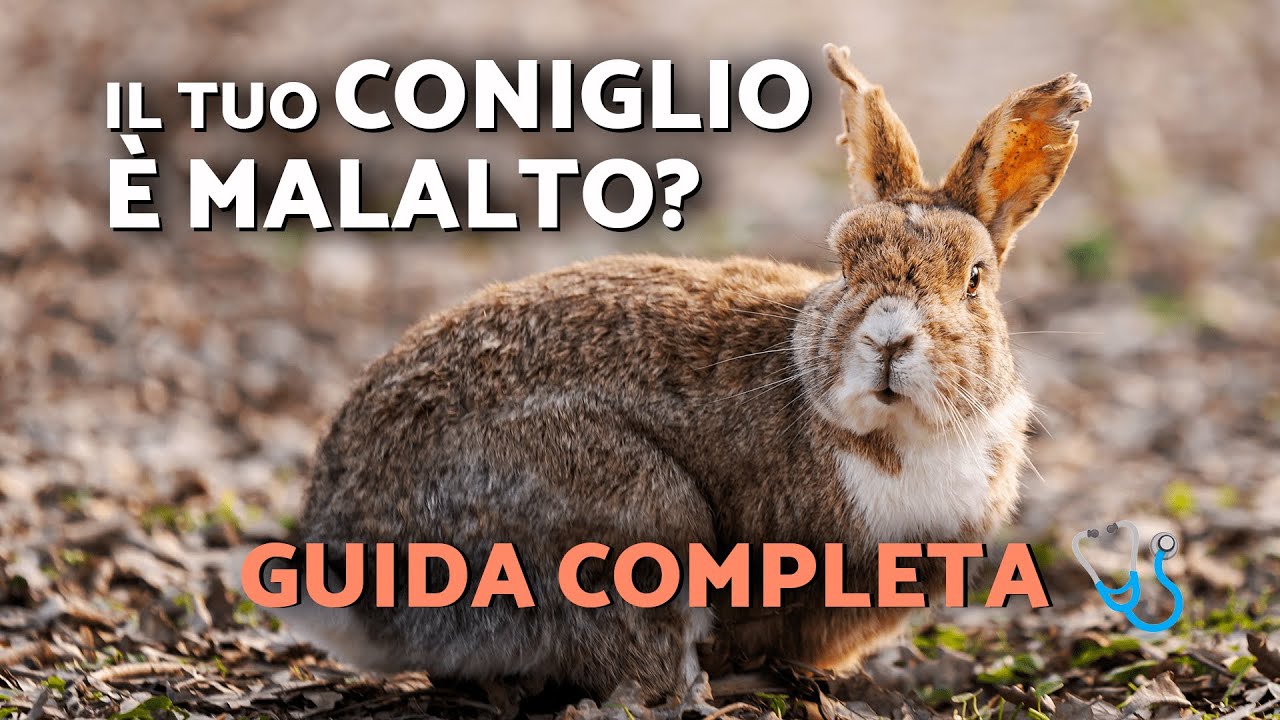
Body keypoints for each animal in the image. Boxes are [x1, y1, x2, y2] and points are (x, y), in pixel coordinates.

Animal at [285, 44, 1091, 702]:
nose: (889, 340)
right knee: (641, 675)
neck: (897, 432)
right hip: (636, 521)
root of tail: (345, 564)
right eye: (845, 264)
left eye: (975, 280)